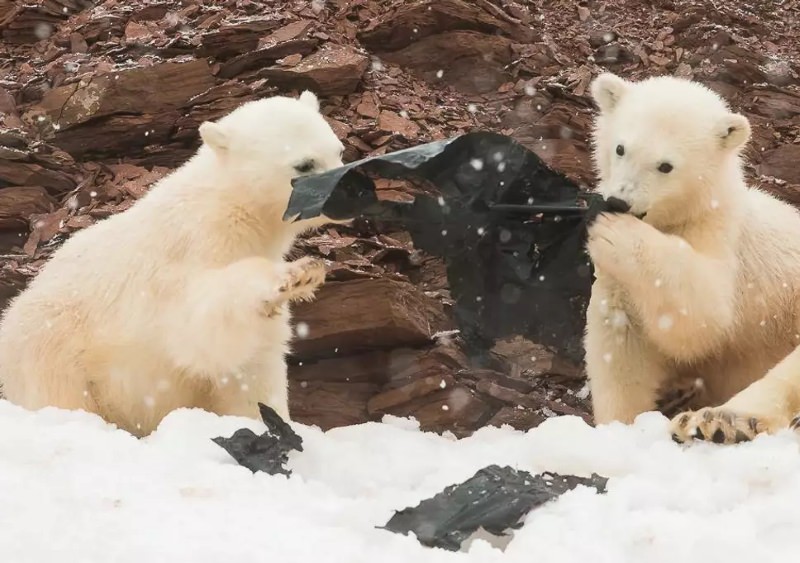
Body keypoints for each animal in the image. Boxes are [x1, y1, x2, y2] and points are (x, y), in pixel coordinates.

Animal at [0, 90, 342, 438]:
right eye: (304, 164)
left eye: (339, 150)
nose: (349, 190)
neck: (232, 210)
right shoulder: (188, 254)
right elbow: (204, 326)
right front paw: (295, 275)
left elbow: (254, 363)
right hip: (53, 346)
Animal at [584, 72, 800, 446]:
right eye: (621, 148)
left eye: (666, 166)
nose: (618, 202)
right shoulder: (617, 283)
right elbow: (620, 342)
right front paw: (619, 426)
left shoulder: (724, 240)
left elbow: (703, 315)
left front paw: (617, 233)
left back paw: (719, 422)